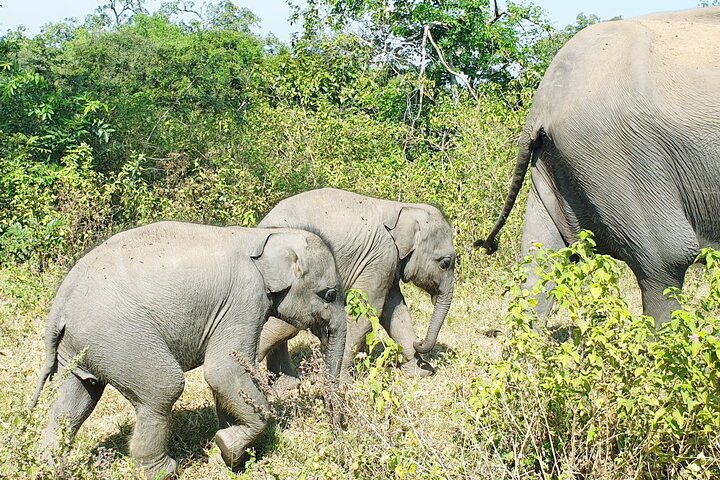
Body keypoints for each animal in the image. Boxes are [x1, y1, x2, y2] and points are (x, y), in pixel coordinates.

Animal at [32, 222, 348, 480]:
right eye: (330, 294)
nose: (337, 434)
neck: (263, 236)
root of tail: (61, 303)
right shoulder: (244, 299)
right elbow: (223, 370)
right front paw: (228, 448)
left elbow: (225, 379)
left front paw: (230, 453)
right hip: (119, 336)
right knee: (163, 389)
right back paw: (163, 471)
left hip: (80, 346)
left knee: (74, 402)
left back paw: (51, 468)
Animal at [255, 188, 456, 382]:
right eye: (445, 263)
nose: (419, 342)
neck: (404, 209)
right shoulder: (381, 258)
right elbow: (368, 311)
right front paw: (344, 382)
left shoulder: (387, 265)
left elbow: (395, 312)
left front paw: (421, 373)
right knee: (282, 327)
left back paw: (286, 386)